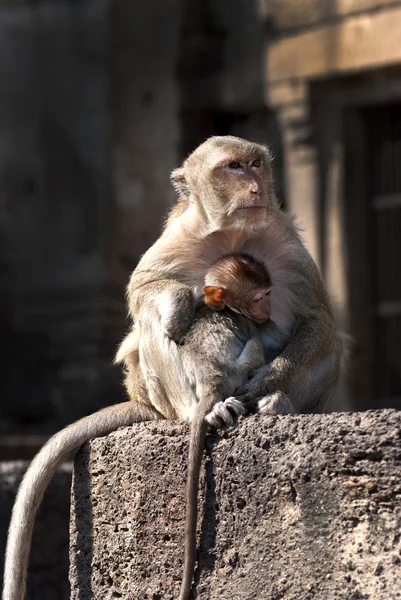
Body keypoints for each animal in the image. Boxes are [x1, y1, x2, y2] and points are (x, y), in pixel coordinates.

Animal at [179, 253, 270, 600]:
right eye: (260, 297)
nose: (269, 309)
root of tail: (211, 379)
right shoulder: (248, 323)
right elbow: (255, 333)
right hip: (238, 368)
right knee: (256, 347)